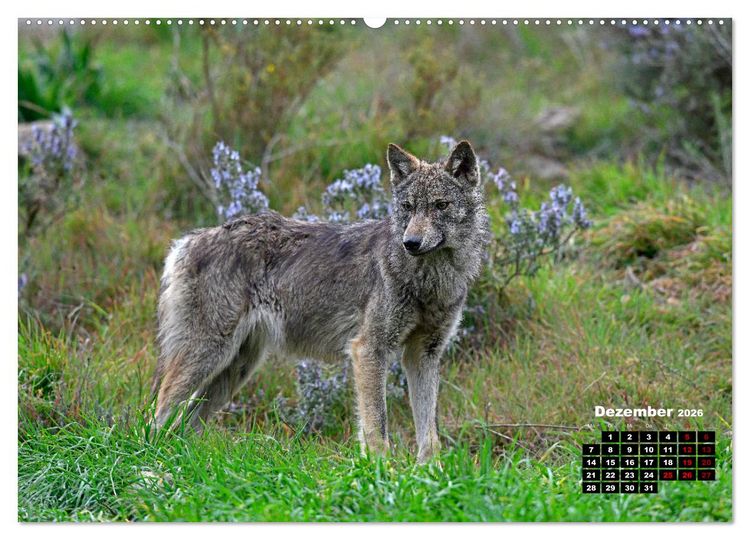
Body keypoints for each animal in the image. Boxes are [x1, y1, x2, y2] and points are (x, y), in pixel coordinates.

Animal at [152, 140, 490, 463]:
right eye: (408, 207)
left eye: (440, 205)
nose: (411, 243)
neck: (429, 279)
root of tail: (186, 241)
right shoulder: (369, 349)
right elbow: (377, 427)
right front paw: (381, 472)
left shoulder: (424, 354)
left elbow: (429, 435)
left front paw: (430, 474)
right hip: (208, 355)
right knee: (159, 413)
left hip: (236, 368)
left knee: (185, 423)